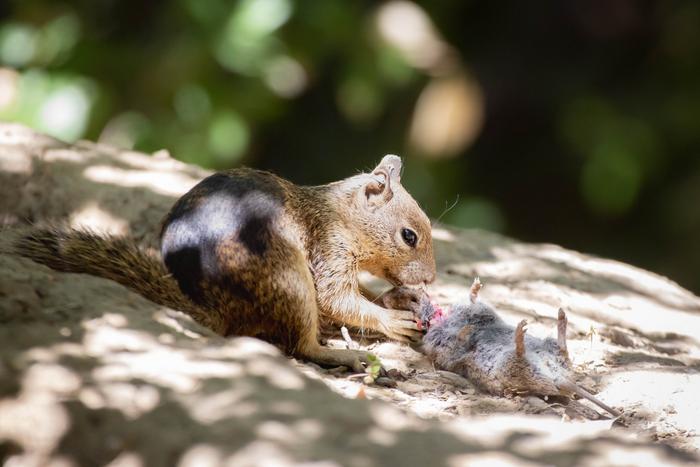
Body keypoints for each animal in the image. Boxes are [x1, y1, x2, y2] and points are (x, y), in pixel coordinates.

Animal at [16, 155, 434, 372]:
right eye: (409, 236)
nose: (431, 278)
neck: (341, 214)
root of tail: (219, 308)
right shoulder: (329, 247)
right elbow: (337, 299)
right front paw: (392, 319)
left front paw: (401, 299)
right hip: (290, 279)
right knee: (300, 346)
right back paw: (344, 354)